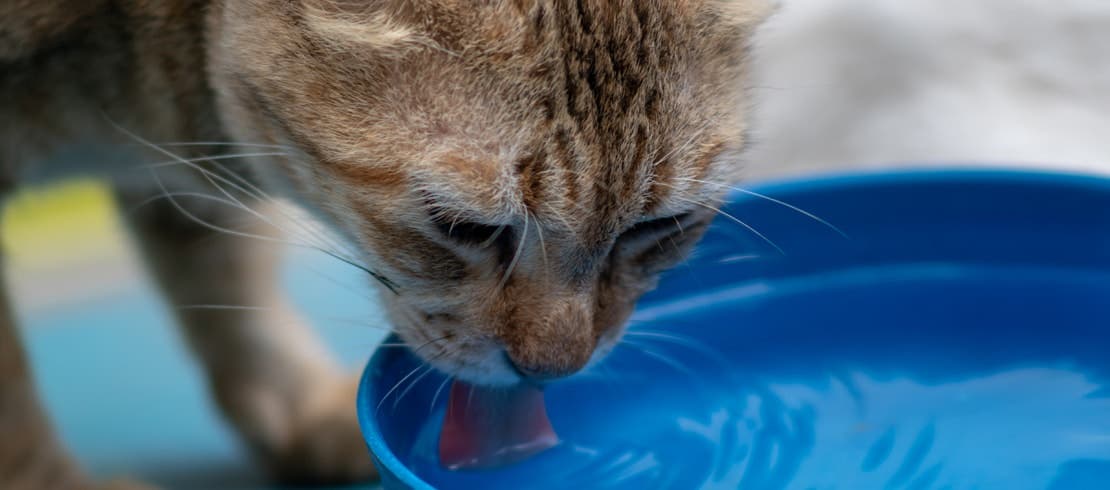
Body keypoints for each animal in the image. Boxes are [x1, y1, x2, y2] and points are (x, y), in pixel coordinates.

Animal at [2, 1, 772, 486]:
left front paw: (299, 406)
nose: (555, 369)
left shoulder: (188, 178)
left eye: (655, 228)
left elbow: (225, 280)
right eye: (467, 228)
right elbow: (15, 405)